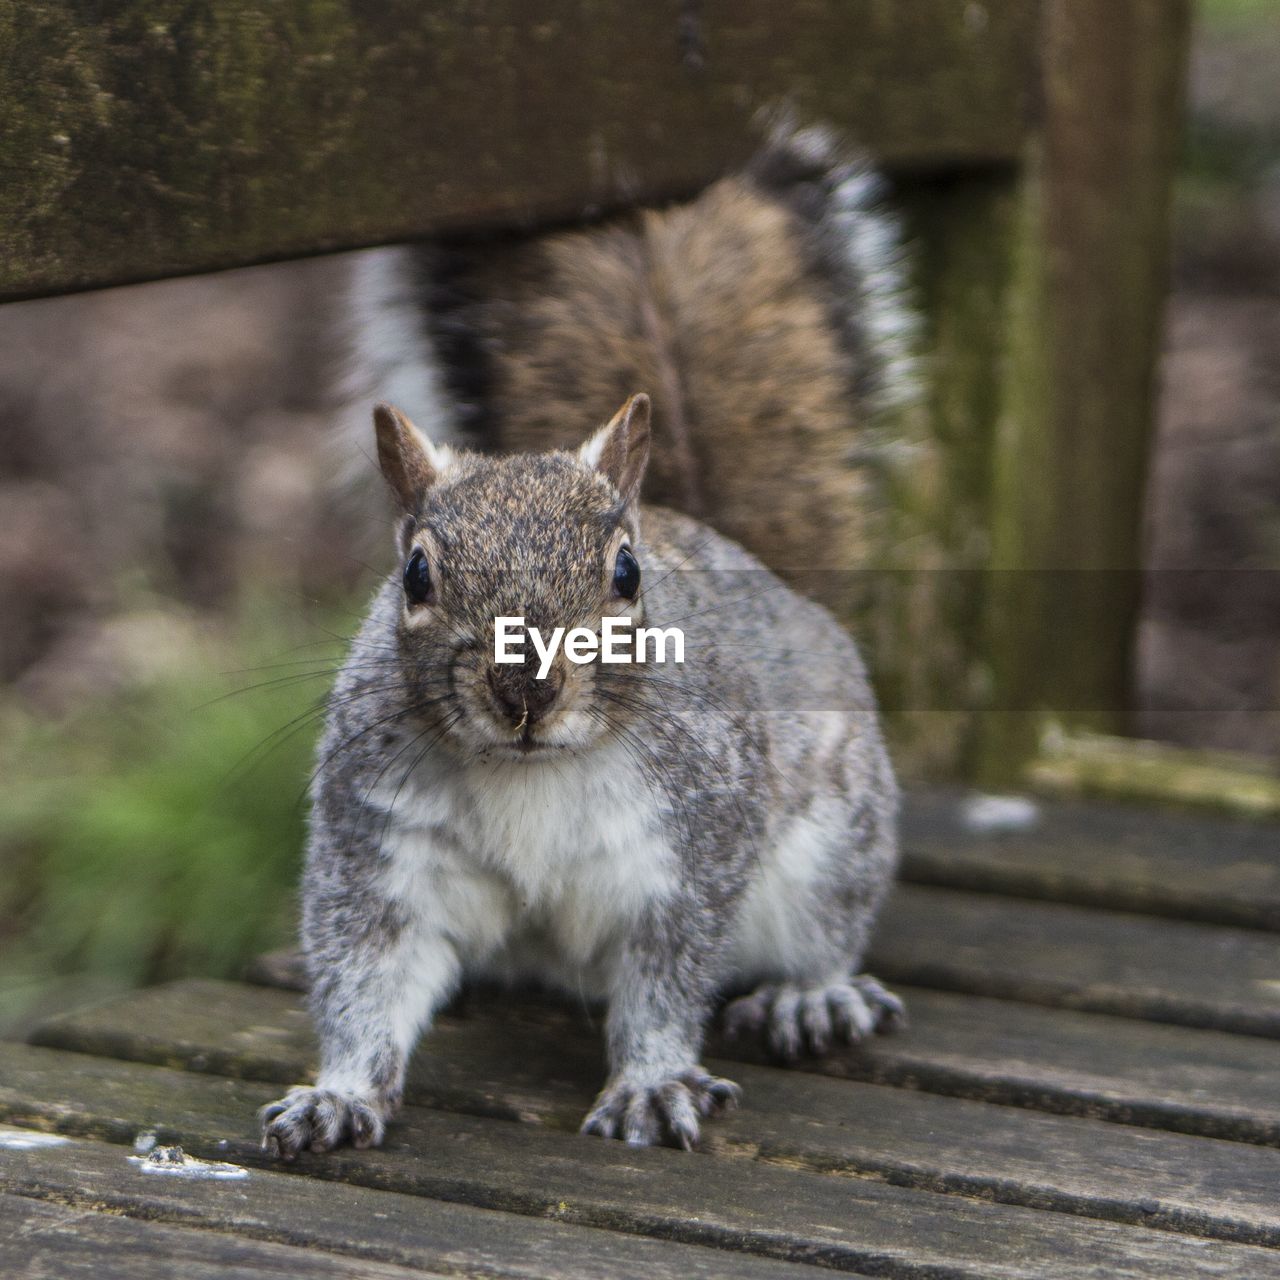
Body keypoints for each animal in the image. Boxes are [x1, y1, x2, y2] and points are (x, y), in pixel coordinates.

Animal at [262, 124, 911, 1157]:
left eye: (627, 574)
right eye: (416, 575)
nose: (525, 691)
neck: (527, 774)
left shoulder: (686, 849)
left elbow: (666, 981)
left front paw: (650, 1085)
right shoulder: (382, 853)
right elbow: (366, 974)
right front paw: (339, 1094)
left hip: (833, 842)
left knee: (826, 926)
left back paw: (812, 997)